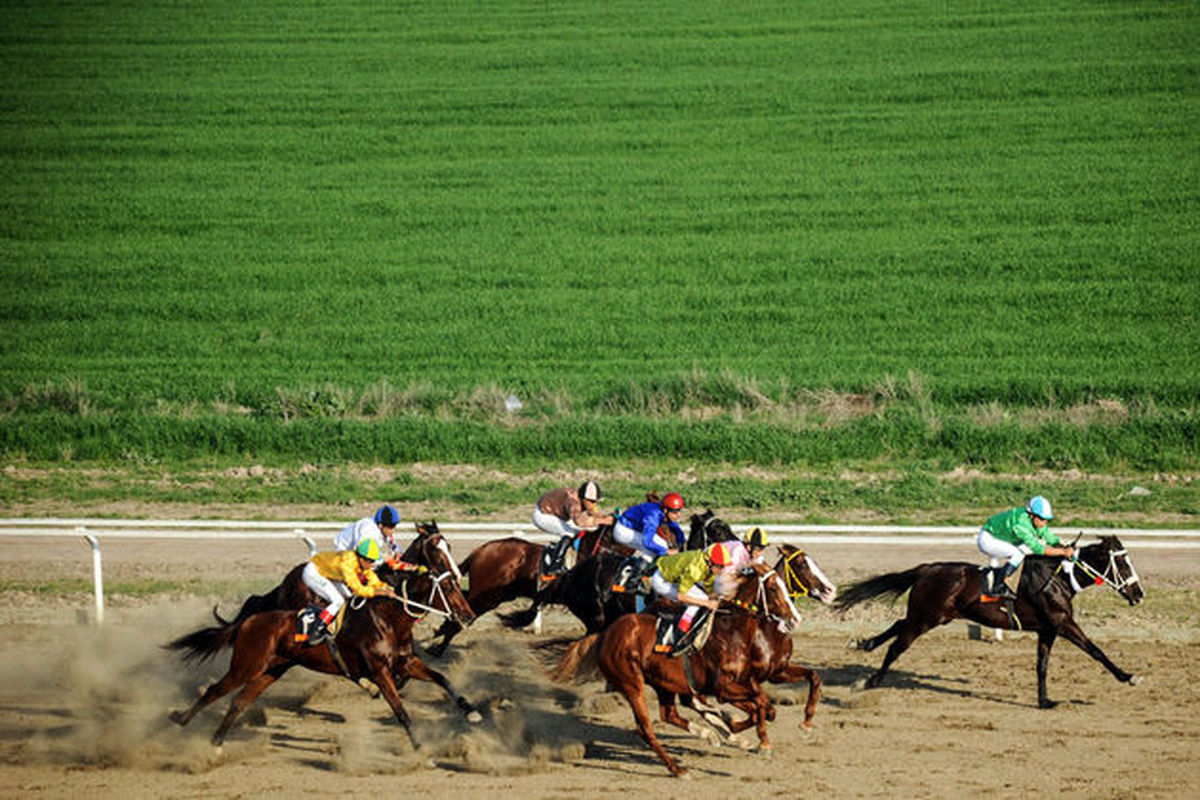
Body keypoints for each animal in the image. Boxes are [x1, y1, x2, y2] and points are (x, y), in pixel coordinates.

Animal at [165, 566, 482, 748]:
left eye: (458, 584)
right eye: (448, 587)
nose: (467, 615)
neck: (389, 620)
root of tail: (249, 621)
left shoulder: (406, 663)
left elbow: (442, 678)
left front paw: (472, 711)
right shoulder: (379, 671)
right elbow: (400, 710)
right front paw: (419, 748)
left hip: (270, 671)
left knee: (239, 702)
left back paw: (215, 743)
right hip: (246, 665)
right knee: (214, 691)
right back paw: (179, 720)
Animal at [554, 556, 820, 777]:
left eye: (785, 586)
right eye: (773, 588)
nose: (795, 618)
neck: (734, 630)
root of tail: (605, 634)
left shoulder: (763, 675)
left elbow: (804, 682)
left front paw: (804, 725)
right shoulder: (724, 687)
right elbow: (762, 706)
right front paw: (760, 742)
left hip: (663, 682)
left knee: (670, 713)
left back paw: (710, 734)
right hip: (632, 684)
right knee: (646, 729)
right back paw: (678, 768)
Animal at [835, 534, 1142, 710]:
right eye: (1122, 564)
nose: (1139, 594)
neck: (1059, 579)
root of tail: (926, 568)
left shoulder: (1048, 629)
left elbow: (1042, 666)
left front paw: (1044, 701)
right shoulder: (1063, 624)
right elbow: (1096, 650)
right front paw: (1129, 676)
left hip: (933, 616)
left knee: (899, 624)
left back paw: (864, 644)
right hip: (925, 618)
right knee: (897, 646)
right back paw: (870, 680)